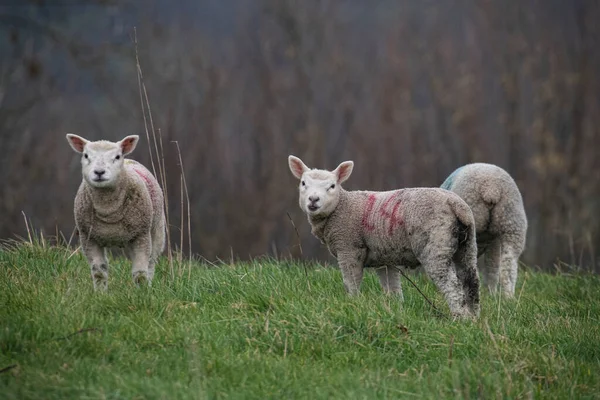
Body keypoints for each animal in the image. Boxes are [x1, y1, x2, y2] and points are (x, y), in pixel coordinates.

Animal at [65, 134, 165, 290]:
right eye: (86, 155)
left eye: (117, 156)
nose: (99, 172)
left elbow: (140, 273)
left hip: (156, 231)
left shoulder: (141, 235)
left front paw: (142, 293)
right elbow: (99, 271)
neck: (108, 210)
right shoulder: (88, 237)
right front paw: (100, 293)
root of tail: (129, 160)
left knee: (151, 263)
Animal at [288, 156, 480, 318]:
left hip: (436, 243)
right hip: (468, 244)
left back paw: (459, 318)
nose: (313, 200)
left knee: (451, 284)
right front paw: (396, 310)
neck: (341, 206)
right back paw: (473, 318)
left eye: (332, 186)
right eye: (303, 183)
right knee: (471, 280)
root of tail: (456, 204)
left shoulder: (349, 247)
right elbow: (393, 289)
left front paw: (353, 304)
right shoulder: (385, 258)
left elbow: (351, 282)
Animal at [438, 162, 528, 296]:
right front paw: (491, 293)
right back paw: (508, 297)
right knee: (507, 265)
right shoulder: (494, 240)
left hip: (472, 217)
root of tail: (491, 188)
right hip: (512, 220)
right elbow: (492, 266)